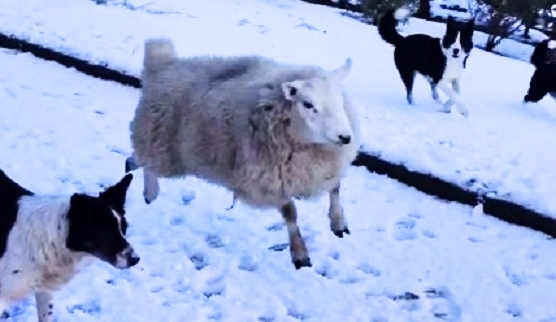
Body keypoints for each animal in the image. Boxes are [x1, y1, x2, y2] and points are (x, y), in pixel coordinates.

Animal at [126, 38, 360, 270]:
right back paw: (150, 192)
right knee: (144, 162)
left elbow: (335, 189)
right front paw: (300, 253)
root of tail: (162, 64)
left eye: (340, 100)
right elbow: (291, 213)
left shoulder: (325, 167)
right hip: (161, 147)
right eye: (308, 104)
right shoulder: (268, 181)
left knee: (134, 160)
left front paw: (338, 222)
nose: (345, 137)